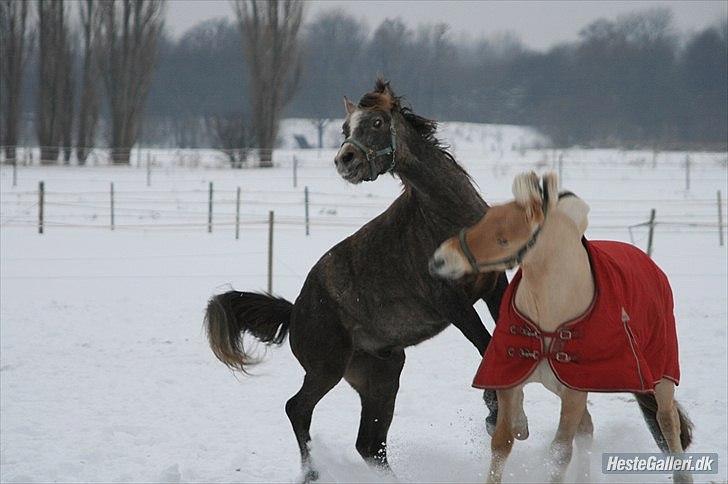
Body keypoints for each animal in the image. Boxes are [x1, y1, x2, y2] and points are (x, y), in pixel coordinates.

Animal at [202, 79, 510, 480]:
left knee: (370, 444)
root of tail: (295, 311)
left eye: (377, 122)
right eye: (345, 129)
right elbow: (485, 346)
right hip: (327, 368)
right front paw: (493, 413)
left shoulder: (494, 287)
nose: (344, 160)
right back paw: (312, 473)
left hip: (382, 374)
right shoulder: (451, 303)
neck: (449, 219)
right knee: (298, 409)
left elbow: (500, 338)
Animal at [432, 172, 692, 482]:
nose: (440, 260)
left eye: (503, 239)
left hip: (662, 376)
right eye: (481, 221)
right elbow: (502, 442)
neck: (549, 311)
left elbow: (559, 453)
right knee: (587, 428)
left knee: (667, 420)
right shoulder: (511, 381)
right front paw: (515, 431)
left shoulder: (574, 391)